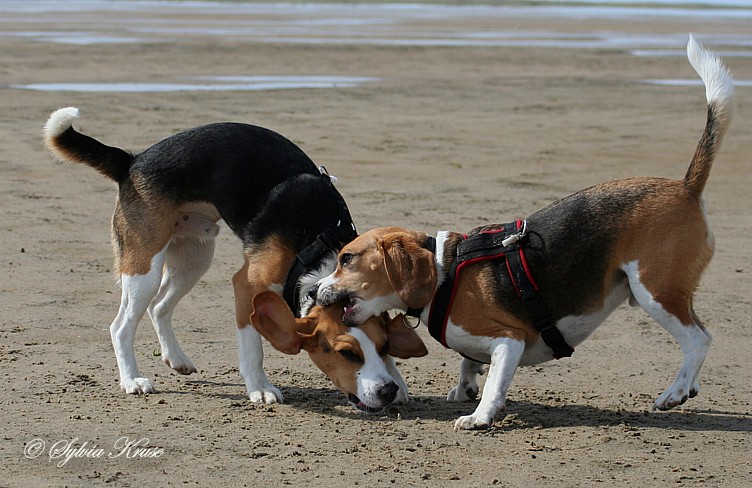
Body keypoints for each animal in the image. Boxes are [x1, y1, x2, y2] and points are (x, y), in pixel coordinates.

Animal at [314, 36, 736, 428]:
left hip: (655, 290)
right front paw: (464, 386)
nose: (313, 290)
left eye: (346, 259)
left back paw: (675, 392)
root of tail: (686, 186)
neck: (442, 274)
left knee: (699, 339)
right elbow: (469, 363)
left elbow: (495, 383)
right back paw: (689, 386)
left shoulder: (509, 341)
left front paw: (480, 416)